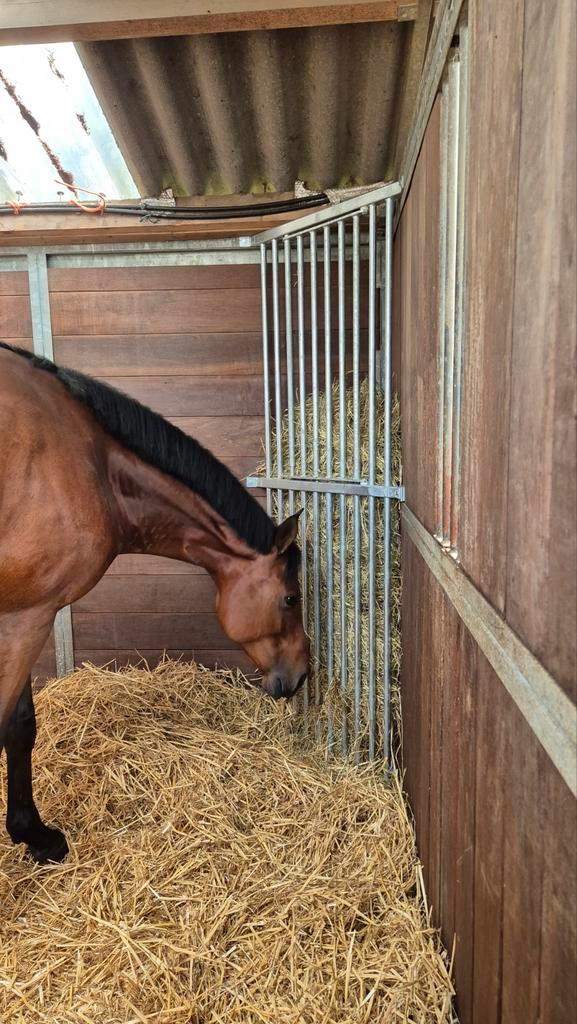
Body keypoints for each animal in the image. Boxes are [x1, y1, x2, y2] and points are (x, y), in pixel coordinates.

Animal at [0, 342, 309, 864]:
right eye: (290, 596)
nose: (303, 674)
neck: (91, 465)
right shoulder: (27, 617)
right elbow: (13, 727)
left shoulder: (19, 612)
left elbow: (19, 723)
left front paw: (33, 834)